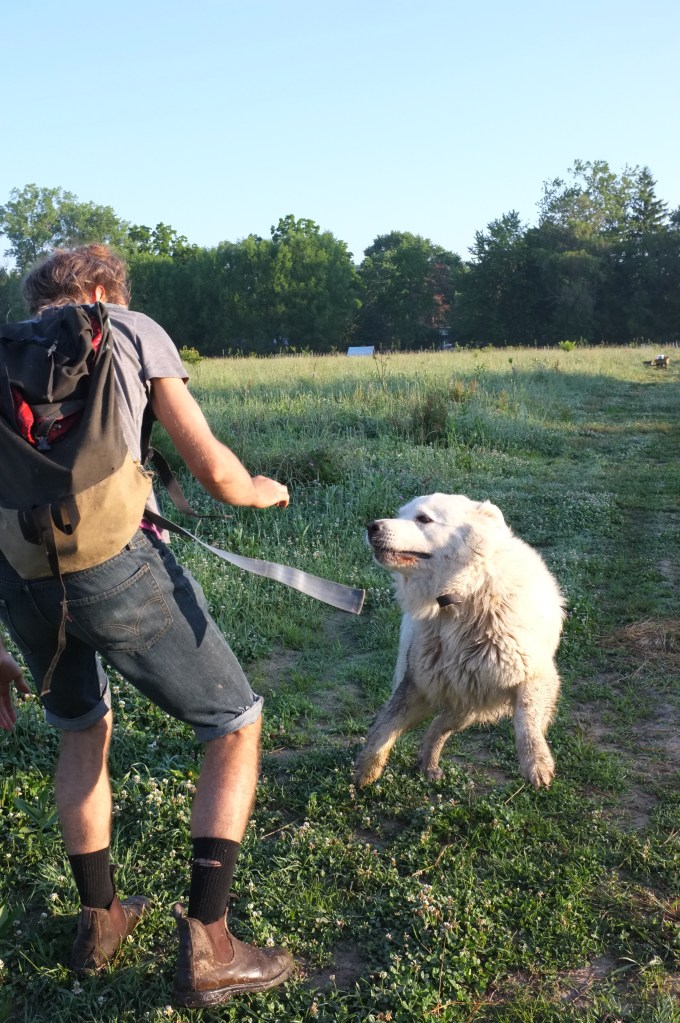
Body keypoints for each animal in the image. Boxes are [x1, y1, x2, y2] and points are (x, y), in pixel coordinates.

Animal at [354, 494, 565, 789]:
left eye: (424, 519)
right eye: (400, 514)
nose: (372, 526)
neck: (463, 598)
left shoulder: (536, 676)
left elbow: (526, 719)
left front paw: (536, 763)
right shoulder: (416, 684)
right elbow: (384, 727)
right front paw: (366, 770)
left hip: (470, 702)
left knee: (438, 727)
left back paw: (428, 763)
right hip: (462, 697)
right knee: (436, 728)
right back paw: (427, 763)